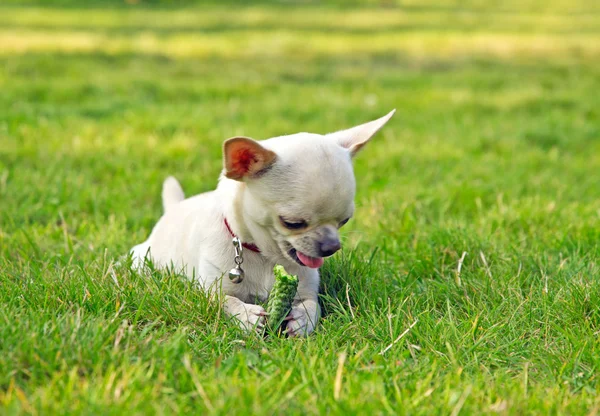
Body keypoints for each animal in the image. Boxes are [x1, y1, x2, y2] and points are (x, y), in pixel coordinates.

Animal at [129, 109, 396, 334]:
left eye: (345, 221)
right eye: (293, 223)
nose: (331, 247)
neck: (266, 257)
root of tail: (174, 206)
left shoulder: (306, 287)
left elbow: (313, 304)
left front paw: (302, 320)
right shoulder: (210, 289)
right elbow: (225, 301)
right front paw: (246, 316)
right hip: (142, 259)